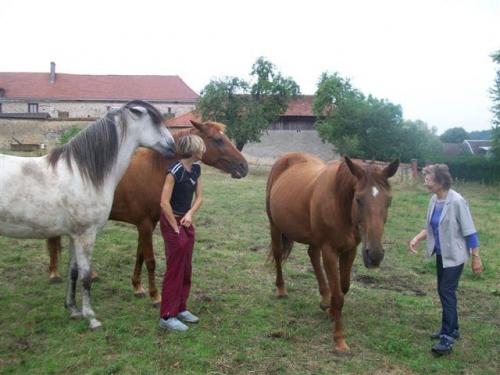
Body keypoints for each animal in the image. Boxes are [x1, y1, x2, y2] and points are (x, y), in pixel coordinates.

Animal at [0, 99, 176, 328]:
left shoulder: (74, 234)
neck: (83, 173)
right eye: (155, 121)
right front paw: (91, 317)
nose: (173, 146)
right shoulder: (86, 235)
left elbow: (73, 272)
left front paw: (73, 310)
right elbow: (84, 276)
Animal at [48, 120, 248, 306]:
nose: (243, 166)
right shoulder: (144, 224)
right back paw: (54, 273)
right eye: (218, 140)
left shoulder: (149, 224)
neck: (155, 170)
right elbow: (150, 260)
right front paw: (155, 296)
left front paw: (137, 286)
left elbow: (141, 255)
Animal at [266, 152, 398, 352]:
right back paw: (281, 289)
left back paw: (324, 299)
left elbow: (343, 287)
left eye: (389, 201)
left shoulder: (350, 250)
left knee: (312, 254)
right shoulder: (330, 251)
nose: (375, 255)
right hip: (275, 226)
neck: (339, 203)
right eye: (358, 199)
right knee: (278, 254)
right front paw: (340, 340)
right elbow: (338, 297)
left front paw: (332, 311)